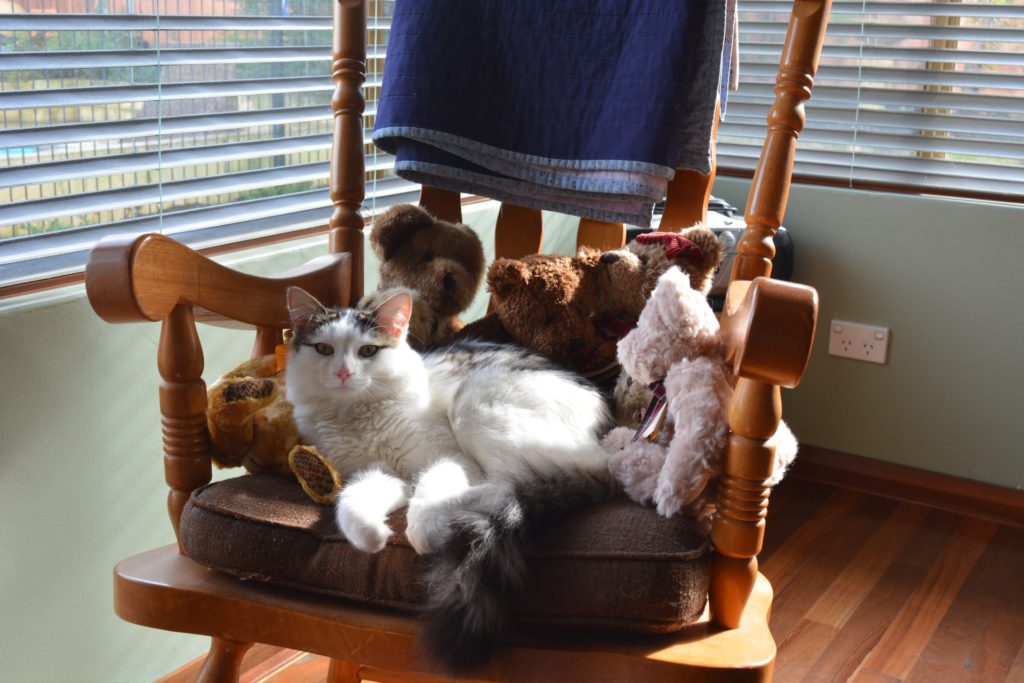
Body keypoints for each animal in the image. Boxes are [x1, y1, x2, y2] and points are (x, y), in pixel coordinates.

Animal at [282, 284, 614, 671]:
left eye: (368, 351)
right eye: (324, 349)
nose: (344, 374)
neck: (356, 414)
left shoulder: (448, 458)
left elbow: (428, 492)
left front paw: (423, 531)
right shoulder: (374, 473)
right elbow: (350, 505)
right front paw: (371, 536)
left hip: (477, 406)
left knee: (517, 484)